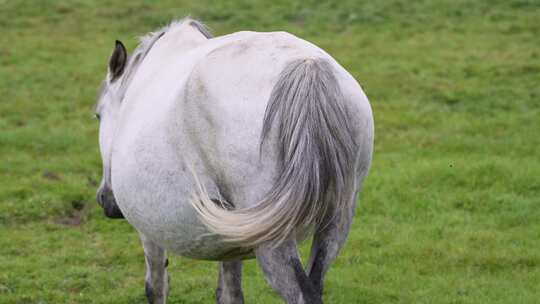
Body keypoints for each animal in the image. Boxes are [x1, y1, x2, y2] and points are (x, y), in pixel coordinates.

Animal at [95, 18, 372, 304]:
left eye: (98, 114)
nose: (107, 201)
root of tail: (307, 67)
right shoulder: (231, 240)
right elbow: (229, 293)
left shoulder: (149, 230)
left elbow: (156, 287)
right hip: (335, 222)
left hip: (274, 241)